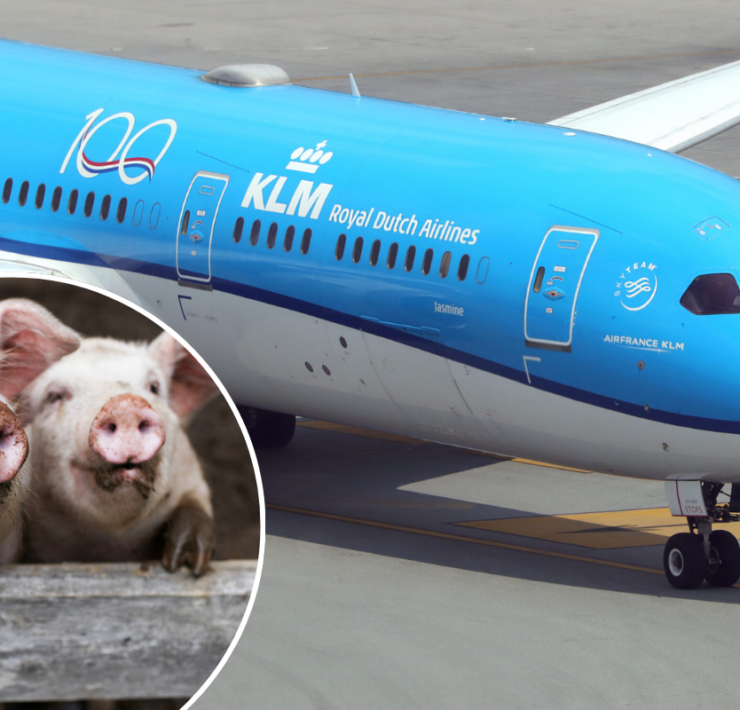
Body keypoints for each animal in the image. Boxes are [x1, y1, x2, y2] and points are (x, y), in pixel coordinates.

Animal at [22, 330, 220, 576]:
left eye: (154, 387)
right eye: (54, 396)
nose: (125, 404)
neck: (112, 544)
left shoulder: (192, 476)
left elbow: (194, 504)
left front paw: (186, 562)